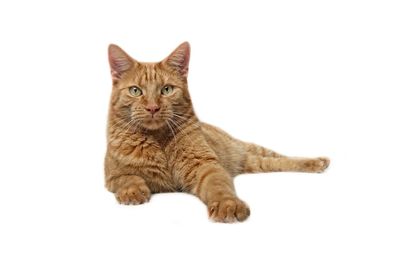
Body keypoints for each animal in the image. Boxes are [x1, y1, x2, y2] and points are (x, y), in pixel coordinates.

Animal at [104, 42, 330, 224]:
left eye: (166, 89)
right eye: (135, 91)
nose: (152, 107)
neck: (158, 139)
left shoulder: (206, 166)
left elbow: (218, 187)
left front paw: (228, 205)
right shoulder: (112, 175)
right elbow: (129, 178)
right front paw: (133, 192)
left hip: (249, 150)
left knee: (282, 158)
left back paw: (318, 162)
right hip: (254, 163)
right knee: (272, 163)